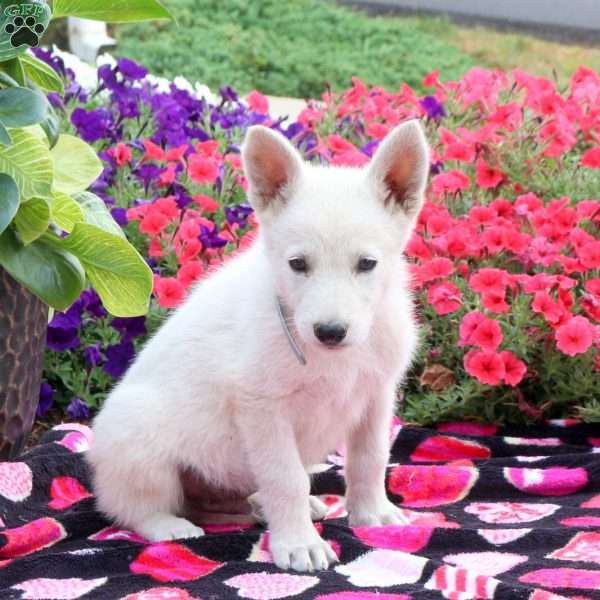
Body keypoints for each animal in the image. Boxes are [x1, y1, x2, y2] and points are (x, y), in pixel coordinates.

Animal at [86, 118, 428, 572]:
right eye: (298, 264)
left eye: (367, 264)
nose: (330, 331)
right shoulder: (263, 409)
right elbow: (287, 479)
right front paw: (299, 542)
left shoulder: (375, 396)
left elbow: (370, 459)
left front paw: (373, 513)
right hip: (140, 441)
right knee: (131, 508)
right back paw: (169, 526)